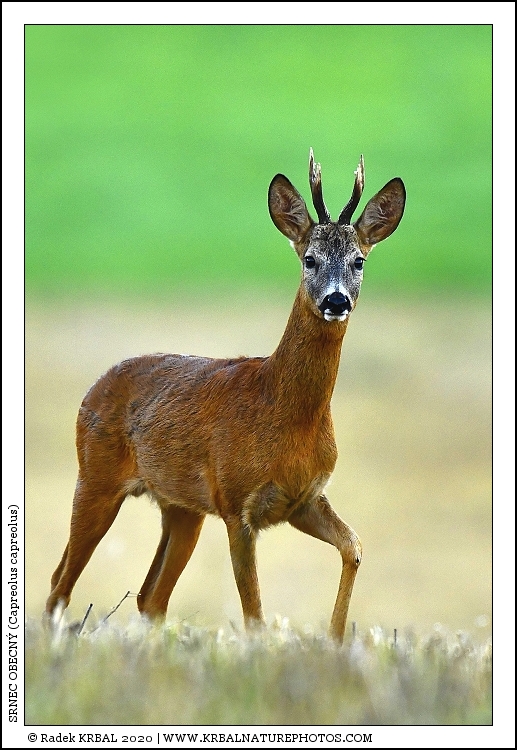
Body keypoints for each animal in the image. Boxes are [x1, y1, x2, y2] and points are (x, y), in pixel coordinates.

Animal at [45, 150, 405, 643]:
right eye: (309, 259)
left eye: (359, 261)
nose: (336, 301)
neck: (283, 408)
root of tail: (91, 391)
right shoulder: (237, 505)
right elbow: (253, 614)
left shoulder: (303, 499)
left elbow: (354, 546)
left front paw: (335, 641)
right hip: (95, 477)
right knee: (60, 585)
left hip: (181, 508)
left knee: (149, 596)